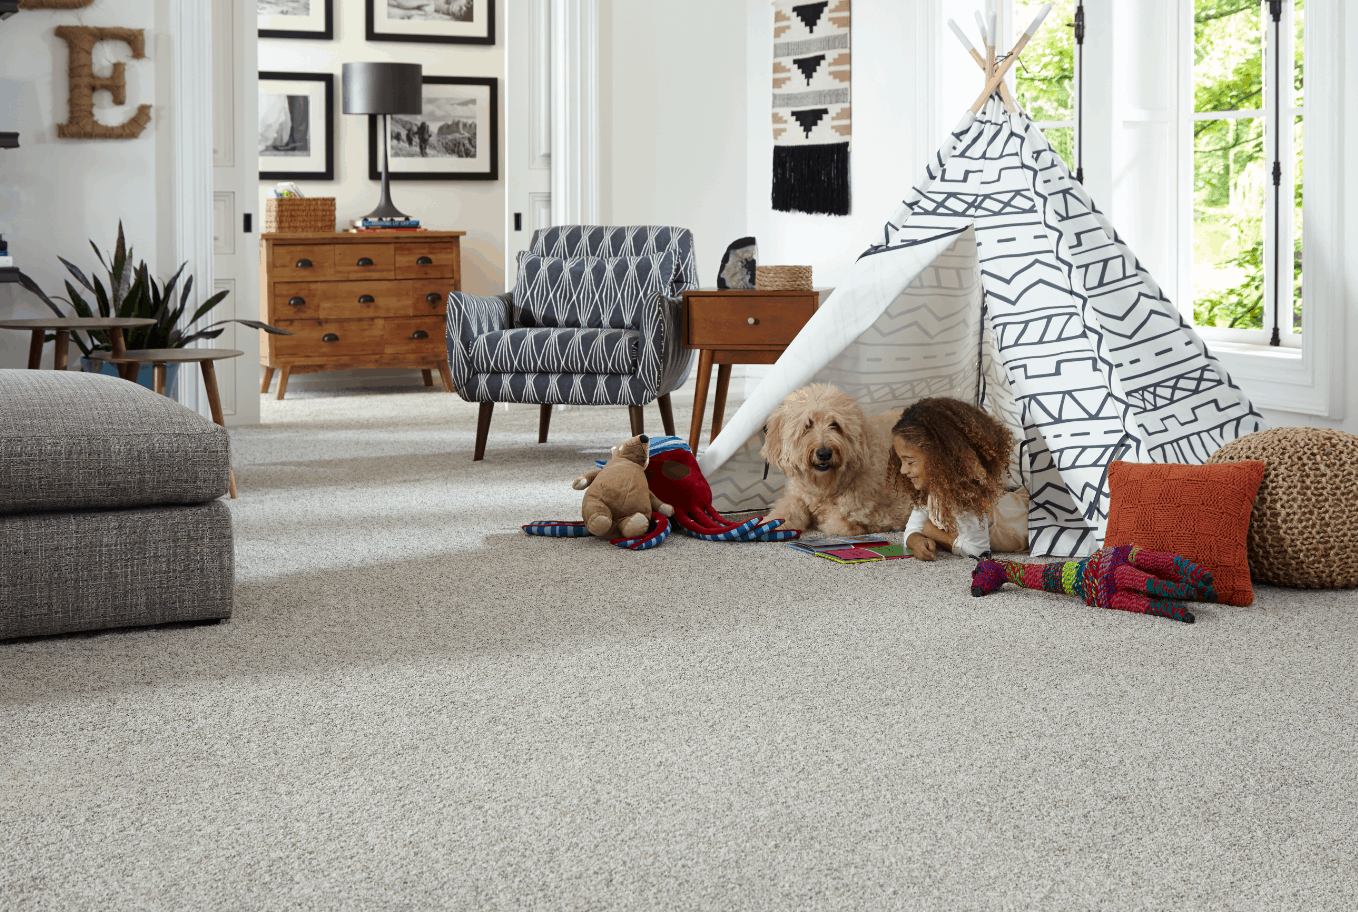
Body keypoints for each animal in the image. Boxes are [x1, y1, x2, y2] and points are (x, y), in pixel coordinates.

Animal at [765, 382, 912, 534]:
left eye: (835, 424)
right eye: (808, 425)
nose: (824, 453)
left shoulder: (881, 513)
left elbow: (835, 523)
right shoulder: (797, 496)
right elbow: (783, 512)